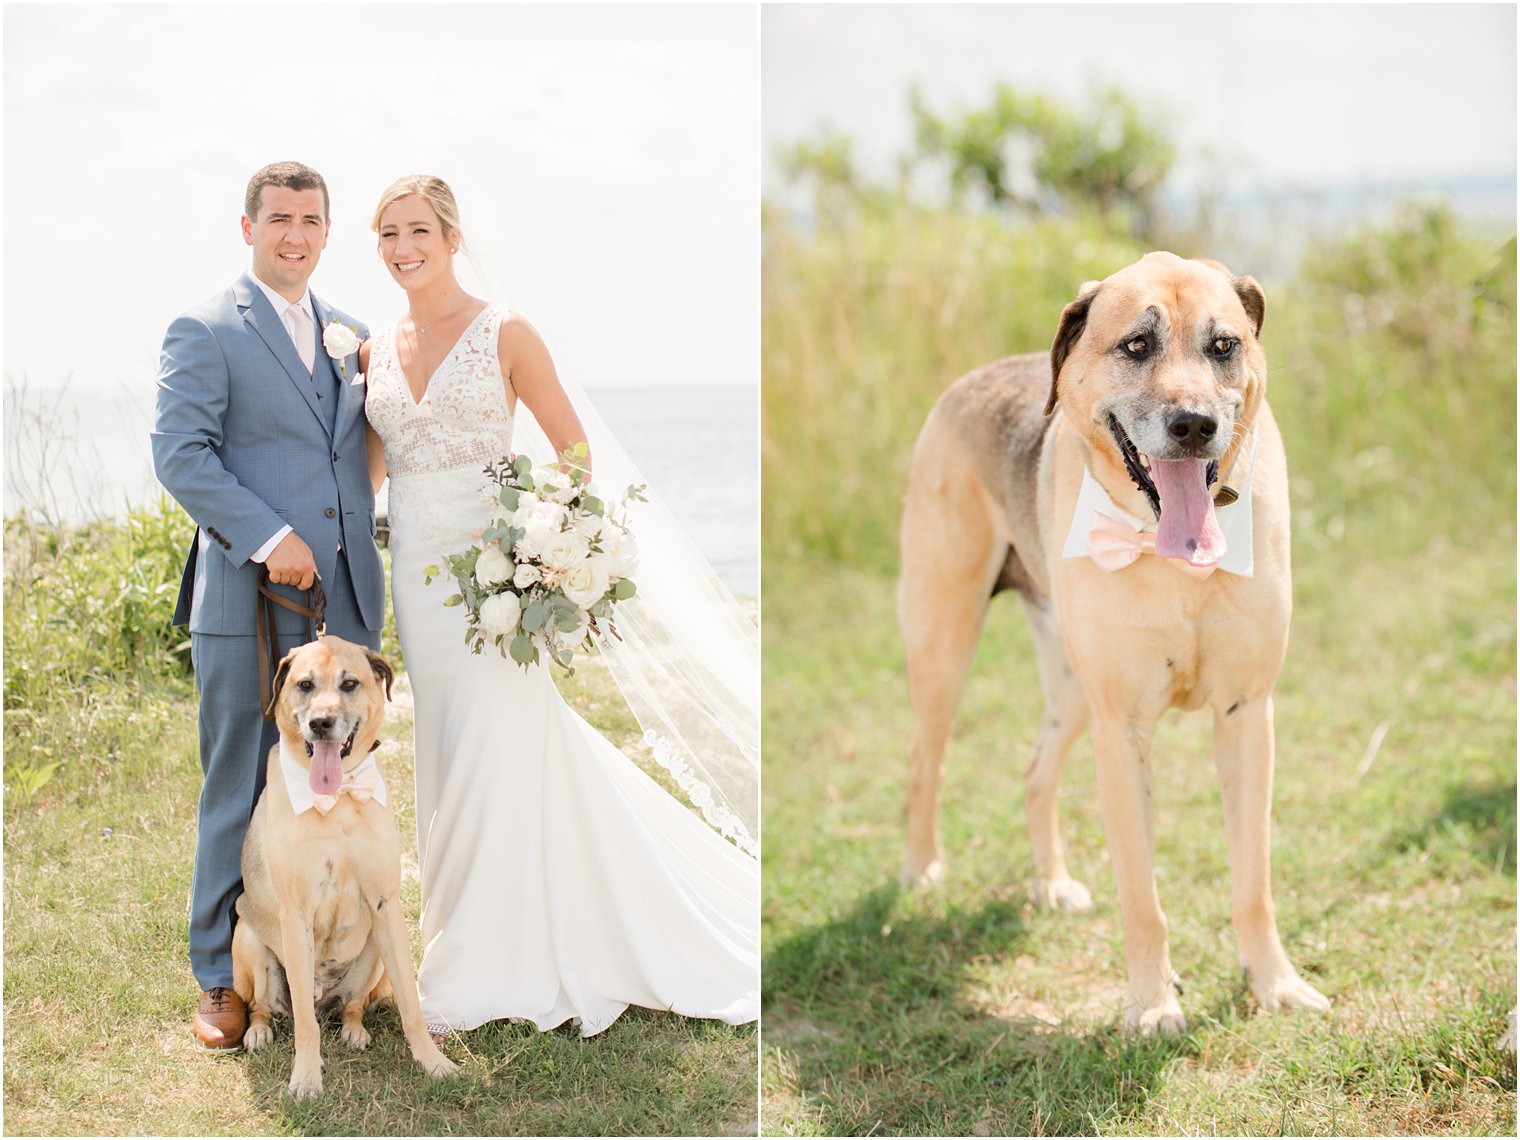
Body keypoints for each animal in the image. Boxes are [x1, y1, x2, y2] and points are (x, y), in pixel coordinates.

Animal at [229, 638, 456, 1100]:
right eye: (304, 685)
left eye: (350, 684)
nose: (320, 723)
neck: (339, 799)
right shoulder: (295, 914)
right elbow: (304, 1024)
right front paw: (306, 1078)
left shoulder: (386, 905)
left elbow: (411, 1003)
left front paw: (432, 1062)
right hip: (248, 938)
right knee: (265, 1006)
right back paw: (258, 1032)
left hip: (375, 951)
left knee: (352, 1006)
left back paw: (354, 1030)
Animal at [899, 249, 1331, 1033]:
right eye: (1136, 344)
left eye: (1224, 345)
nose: (1194, 425)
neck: (1169, 553)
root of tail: (967, 381)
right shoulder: (1122, 728)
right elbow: (1142, 896)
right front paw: (1153, 1006)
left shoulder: (1246, 715)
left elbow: (1252, 881)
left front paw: (1274, 985)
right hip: (945, 643)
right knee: (926, 760)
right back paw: (921, 870)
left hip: (1072, 691)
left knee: (1035, 773)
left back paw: (1052, 884)